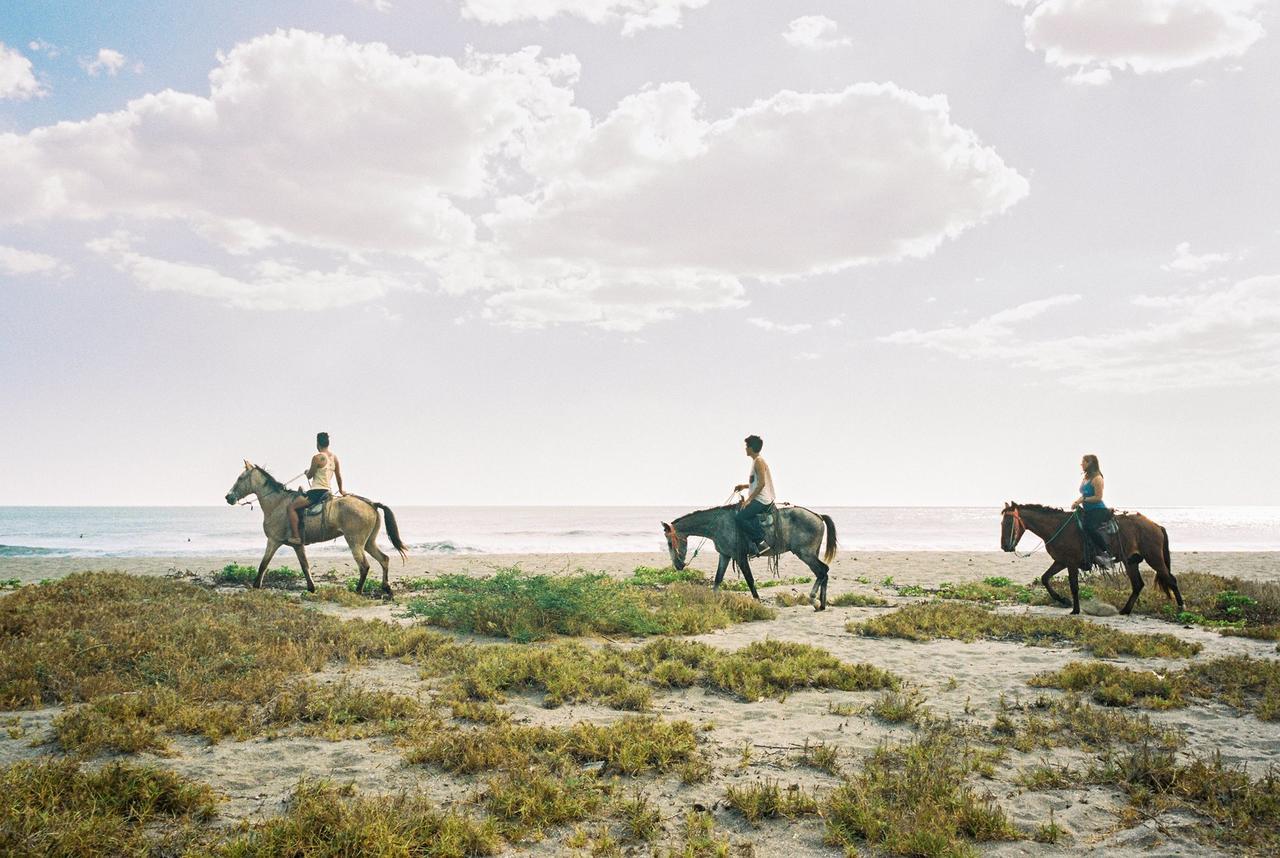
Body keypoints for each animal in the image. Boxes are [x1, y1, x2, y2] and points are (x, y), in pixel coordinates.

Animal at [224, 463, 404, 599]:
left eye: (240, 478)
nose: (228, 497)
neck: (277, 503)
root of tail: (371, 504)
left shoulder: (273, 541)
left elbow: (263, 564)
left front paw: (255, 586)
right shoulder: (298, 546)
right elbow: (305, 566)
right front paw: (311, 588)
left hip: (355, 542)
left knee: (364, 566)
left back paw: (358, 591)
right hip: (368, 542)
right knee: (384, 559)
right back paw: (386, 588)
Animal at [665, 504, 834, 612]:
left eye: (669, 543)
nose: (678, 565)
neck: (718, 524)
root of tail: (818, 516)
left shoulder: (740, 557)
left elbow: (750, 580)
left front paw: (758, 602)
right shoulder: (725, 555)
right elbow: (718, 579)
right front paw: (712, 602)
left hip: (805, 554)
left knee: (822, 571)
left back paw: (813, 599)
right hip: (809, 554)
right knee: (824, 572)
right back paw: (821, 605)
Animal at [998, 504, 1177, 619]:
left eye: (1009, 522)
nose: (1005, 546)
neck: (1058, 527)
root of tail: (1156, 525)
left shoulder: (1070, 563)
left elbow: (1074, 586)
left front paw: (1075, 610)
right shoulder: (1061, 561)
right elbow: (1045, 578)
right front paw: (1063, 600)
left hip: (1154, 558)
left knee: (1170, 579)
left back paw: (1180, 607)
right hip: (1131, 562)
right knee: (1138, 585)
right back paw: (1125, 610)